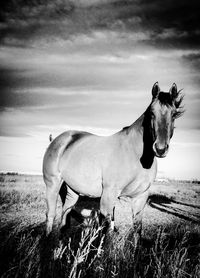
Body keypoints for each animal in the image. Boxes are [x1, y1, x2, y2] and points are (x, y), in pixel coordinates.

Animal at [43, 82, 184, 235]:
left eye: (174, 114)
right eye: (152, 113)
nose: (160, 148)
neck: (135, 154)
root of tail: (59, 139)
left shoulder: (140, 198)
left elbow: (137, 230)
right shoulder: (108, 197)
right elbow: (107, 232)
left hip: (72, 190)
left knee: (65, 215)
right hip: (53, 184)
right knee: (50, 215)